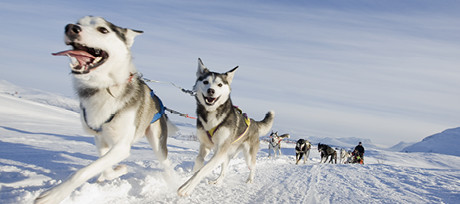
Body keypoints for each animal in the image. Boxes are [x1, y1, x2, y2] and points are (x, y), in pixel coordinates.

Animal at [35, 16, 172, 204]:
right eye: (79, 22)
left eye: (103, 30)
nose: (71, 28)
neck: (104, 88)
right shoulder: (100, 138)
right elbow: (104, 167)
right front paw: (118, 170)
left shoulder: (121, 146)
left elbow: (82, 172)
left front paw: (53, 194)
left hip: (157, 142)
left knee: (168, 167)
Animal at [178, 58, 274, 196]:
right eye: (205, 82)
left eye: (219, 85)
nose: (211, 91)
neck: (212, 115)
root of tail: (254, 122)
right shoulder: (205, 146)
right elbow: (199, 160)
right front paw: (192, 173)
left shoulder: (220, 151)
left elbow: (204, 169)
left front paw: (187, 187)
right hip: (227, 155)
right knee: (223, 171)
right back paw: (217, 181)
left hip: (248, 156)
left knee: (253, 167)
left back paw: (250, 180)